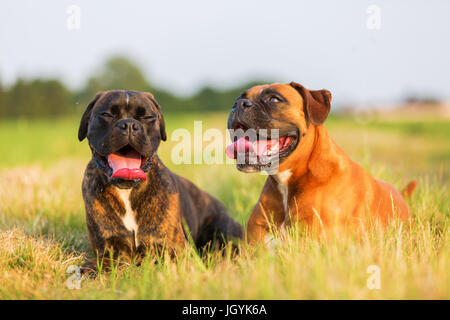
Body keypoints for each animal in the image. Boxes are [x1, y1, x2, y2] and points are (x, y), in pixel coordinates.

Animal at [77, 89, 243, 268]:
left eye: (148, 117)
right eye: (106, 114)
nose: (129, 124)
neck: (127, 191)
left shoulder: (172, 250)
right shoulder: (109, 252)